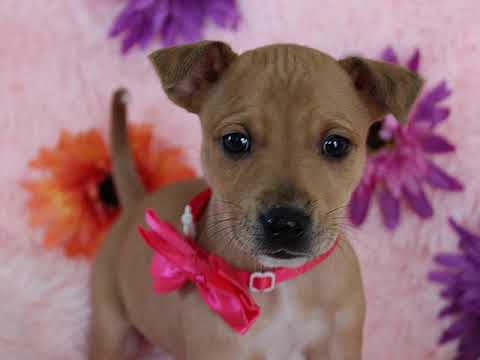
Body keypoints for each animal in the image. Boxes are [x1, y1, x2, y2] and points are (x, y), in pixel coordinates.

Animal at [88, 40, 422, 358]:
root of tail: (135, 203)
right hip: (110, 328)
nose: (286, 224)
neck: (279, 284)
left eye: (336, 144)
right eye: (235, 141)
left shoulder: (339, 344)